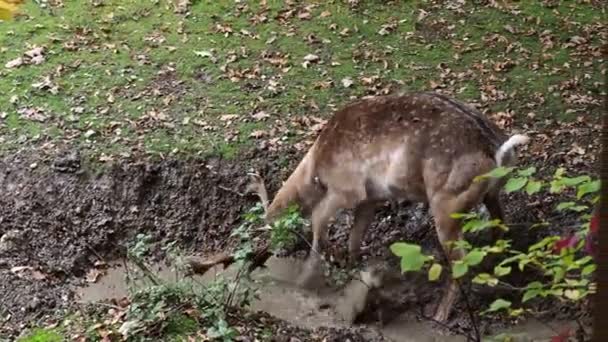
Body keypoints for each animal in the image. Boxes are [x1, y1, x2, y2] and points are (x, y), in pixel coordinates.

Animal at [245, 90, 528, 320]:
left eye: (267, 232)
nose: (253, 261)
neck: (316, 168)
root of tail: (499, 152)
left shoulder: (347, 189)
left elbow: (317, 223)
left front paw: (304, 281)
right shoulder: (371, 198)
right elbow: (354, 238)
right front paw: (351, 276)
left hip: (447, 201)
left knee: (461, 260)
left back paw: (440, 314)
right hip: (491, 195)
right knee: (500, 230)